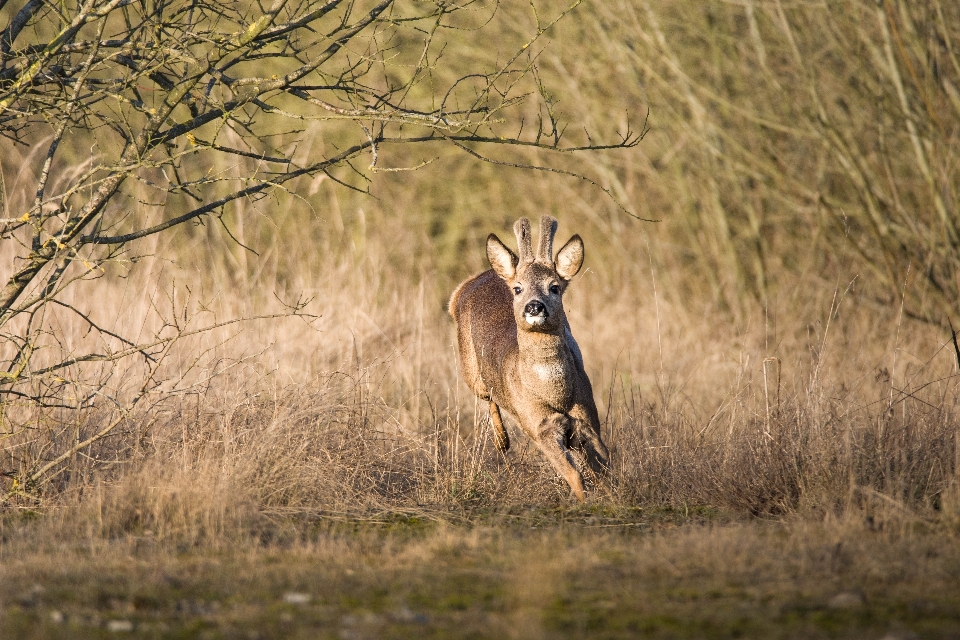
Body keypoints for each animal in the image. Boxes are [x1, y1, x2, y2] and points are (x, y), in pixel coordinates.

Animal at [448, 215, 608, 500]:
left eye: (554, 287)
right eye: (518, 289)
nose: (534, 306)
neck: (556, 395)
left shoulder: (588, 419)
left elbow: (605, 469)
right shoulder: (538, 427)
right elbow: (574, 476)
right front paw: (585, 502)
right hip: (471, 373)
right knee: (488, 397)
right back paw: (502, 442)